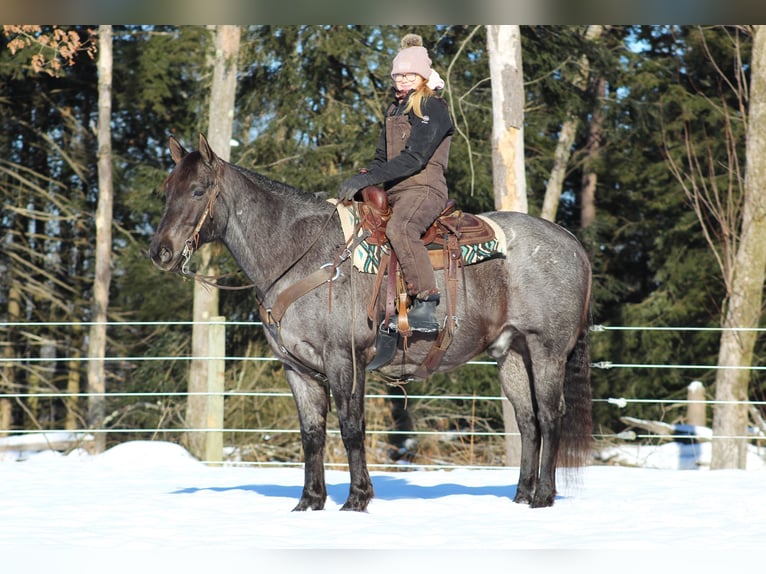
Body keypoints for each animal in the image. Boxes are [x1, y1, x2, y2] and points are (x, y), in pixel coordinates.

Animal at [148, 135, 592, 512]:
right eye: (166, 190)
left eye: (198, 190)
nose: (160, 252)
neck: (303, 256)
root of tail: (572, 243)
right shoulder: (297, 368)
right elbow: (312, 434)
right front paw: (309, 502)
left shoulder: (344, 359)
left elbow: (350, 427)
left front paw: (356, 499)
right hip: (511, 352)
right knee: (528, 420)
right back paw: (522, 496)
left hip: (547, 351)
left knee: (550, 415)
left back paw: (544, 496)